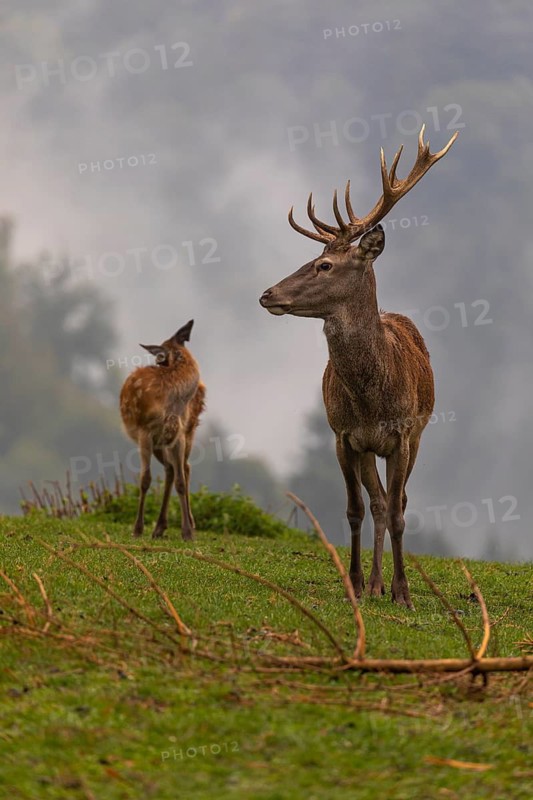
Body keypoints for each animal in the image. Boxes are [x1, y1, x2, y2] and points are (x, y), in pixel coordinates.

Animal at [119, 319, 206, 541]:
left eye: (160, 359)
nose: (156, 362)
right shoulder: (145, 432)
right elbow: (145, 479)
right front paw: (137, 528)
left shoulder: (179, 434)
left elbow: (181, 482)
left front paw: (187, 533)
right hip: (159, 442)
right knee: (171, 470)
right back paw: (159, 527)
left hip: (189, 432)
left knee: (183, 468)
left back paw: (186, 524)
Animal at [260, 125, 458, 609]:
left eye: (324, 264)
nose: (268, 294)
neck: (372, 400)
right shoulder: (343, 436)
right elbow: (355, 509)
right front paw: (355, 582)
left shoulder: (402, 435)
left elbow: (401, 511)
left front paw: (404, 593)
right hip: (368, 449)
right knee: (379, 502)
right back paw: (373, 583)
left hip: (417, 437)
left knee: (398, 501)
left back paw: (388, 585)